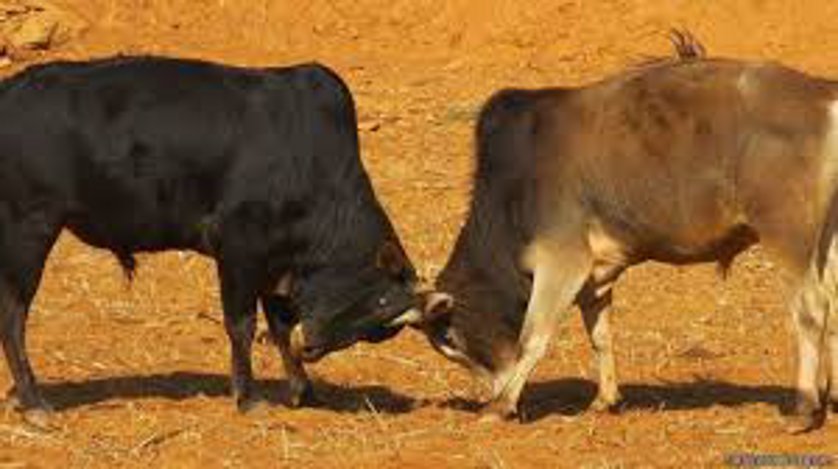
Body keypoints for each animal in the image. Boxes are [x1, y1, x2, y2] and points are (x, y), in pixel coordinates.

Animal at [0, 57, 423, 424]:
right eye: (379, 302)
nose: (314, 348)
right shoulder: (239, 252)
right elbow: (243, 326)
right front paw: (249, 398)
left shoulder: (275, 264)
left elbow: (281, 326)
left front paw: (304, 391)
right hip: (29, 232)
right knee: (13, 316)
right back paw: (35, 403)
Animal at [413, 34, 838, 432]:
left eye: (451, 341)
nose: (489, 390)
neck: (514, 189)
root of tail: (822, 95)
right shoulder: (596, 275)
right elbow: (600, 336)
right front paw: (604, 400)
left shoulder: (561, 261)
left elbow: (533, 338)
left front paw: (498, 407)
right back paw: (830, 400)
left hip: (787, 236)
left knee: (811, 309)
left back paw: (804, 409)